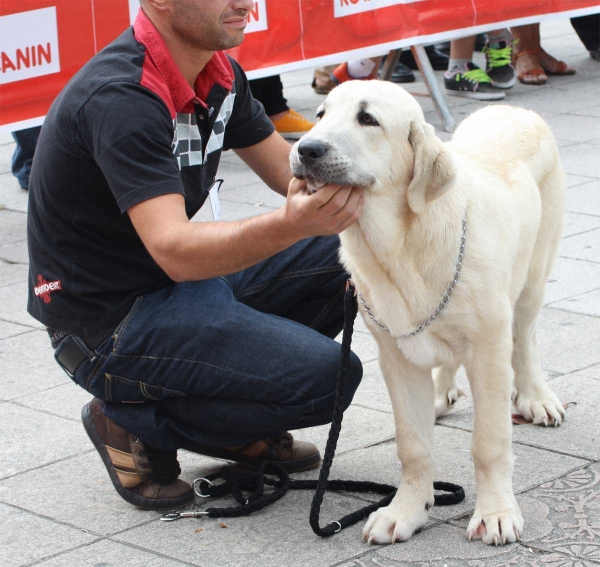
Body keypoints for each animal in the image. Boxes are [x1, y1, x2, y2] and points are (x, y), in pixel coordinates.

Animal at [290, 80, 568, 544]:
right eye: (320, 115)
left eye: (367, 119)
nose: (306, 149)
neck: (399, 247)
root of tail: (518, 110)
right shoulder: (395, 356)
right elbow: (412, 445)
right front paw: (406, 510)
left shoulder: (489, 348)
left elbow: (490, 442)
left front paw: (495, 512)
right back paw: (440, 395)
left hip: (534, 271)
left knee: (525, 335)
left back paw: (535, 397)